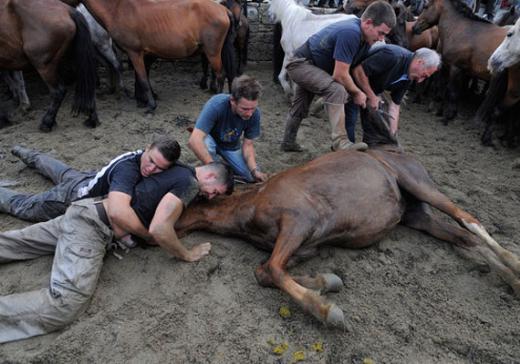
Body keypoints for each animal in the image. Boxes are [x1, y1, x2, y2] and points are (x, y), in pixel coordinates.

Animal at [0, 0, 97, 132]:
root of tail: (68, 10)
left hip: (44, 66)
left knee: (58, 92)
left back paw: (47, 122)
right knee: (87, 83)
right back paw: (92, 118)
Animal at [63, 0, 236, 113]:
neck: (119, 10)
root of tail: (223, 9)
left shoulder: (134, 53)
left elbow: (143, 79)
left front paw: (150, 105)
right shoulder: (145, 54)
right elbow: (143, 77)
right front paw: (143, 99)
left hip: (212, 52)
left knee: (221, 74)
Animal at [176, 104, 520, 328]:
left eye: (186, 195)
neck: (252, 204)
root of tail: (393, 148)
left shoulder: (299, 223)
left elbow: (272, 269)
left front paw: (325, 310)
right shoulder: (304, 247)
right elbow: (266, 272)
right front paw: (324, 283)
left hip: (420, 186)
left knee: (468, 219)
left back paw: (514, 264)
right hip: (417, 217)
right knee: (464, 238)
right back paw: (511, 279)